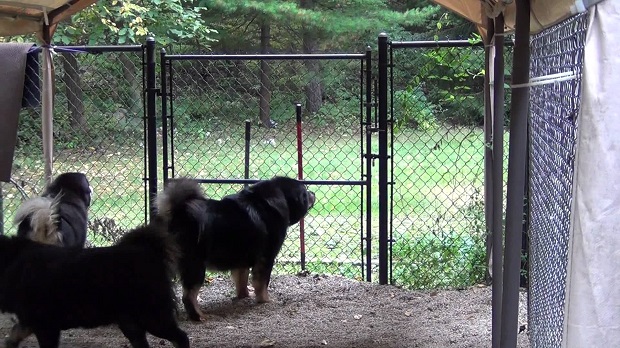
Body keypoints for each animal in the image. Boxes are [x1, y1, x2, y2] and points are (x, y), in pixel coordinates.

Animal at [0, 224, 189, 346]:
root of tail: (149, 252)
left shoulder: (45, 326)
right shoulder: (29, 322)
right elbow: (11, 339)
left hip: (152, 317)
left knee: (181, 338)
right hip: (131, 322)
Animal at [156, 177, 314, 320]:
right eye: (305, 194)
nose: (312, 192)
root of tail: (178, 214)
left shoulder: (241, 259)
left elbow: (242, 281)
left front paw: (243, 296)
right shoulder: (266, 258)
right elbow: (262, 283)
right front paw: (265, 300)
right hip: (195, 266)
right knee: (189, 295)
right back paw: (198, 316)